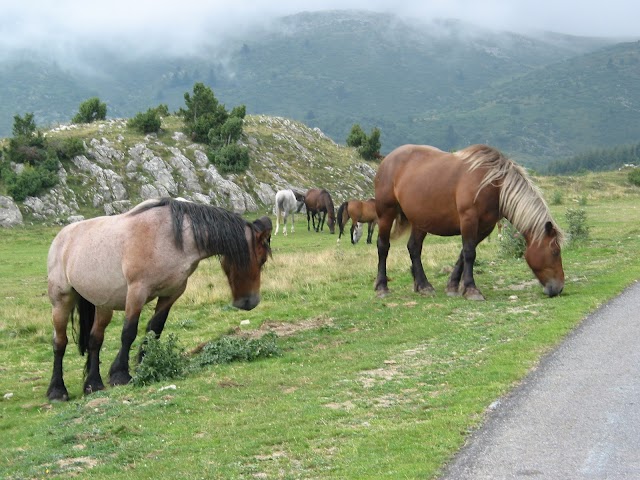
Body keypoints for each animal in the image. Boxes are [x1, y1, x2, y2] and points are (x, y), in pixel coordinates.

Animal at [47, 196, 272, 402]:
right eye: (261, 259)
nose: (250, 302)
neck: (170, 239)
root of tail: (61, 237)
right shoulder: (137, 291)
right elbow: (128, 333)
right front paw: (120, 374)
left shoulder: (171, 294)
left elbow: (154, 329)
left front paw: (144, 364)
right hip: (62, 301)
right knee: (60, 342)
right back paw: (57, 391)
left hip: (103, 305)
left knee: (95, 340)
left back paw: (93, 384)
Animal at [376, 143, 564, 300]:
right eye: (555, 252)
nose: (559, 288)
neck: (493, 184)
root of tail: (387, 159)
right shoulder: (469, 220)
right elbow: (469, 253)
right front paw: (472, 290)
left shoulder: (484, 227)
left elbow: (464, 253)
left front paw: (453, 286)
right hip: (386, 213)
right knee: (383, 246)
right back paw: (382, 287)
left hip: (420, 220)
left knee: (414, 248)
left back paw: (423, 286)